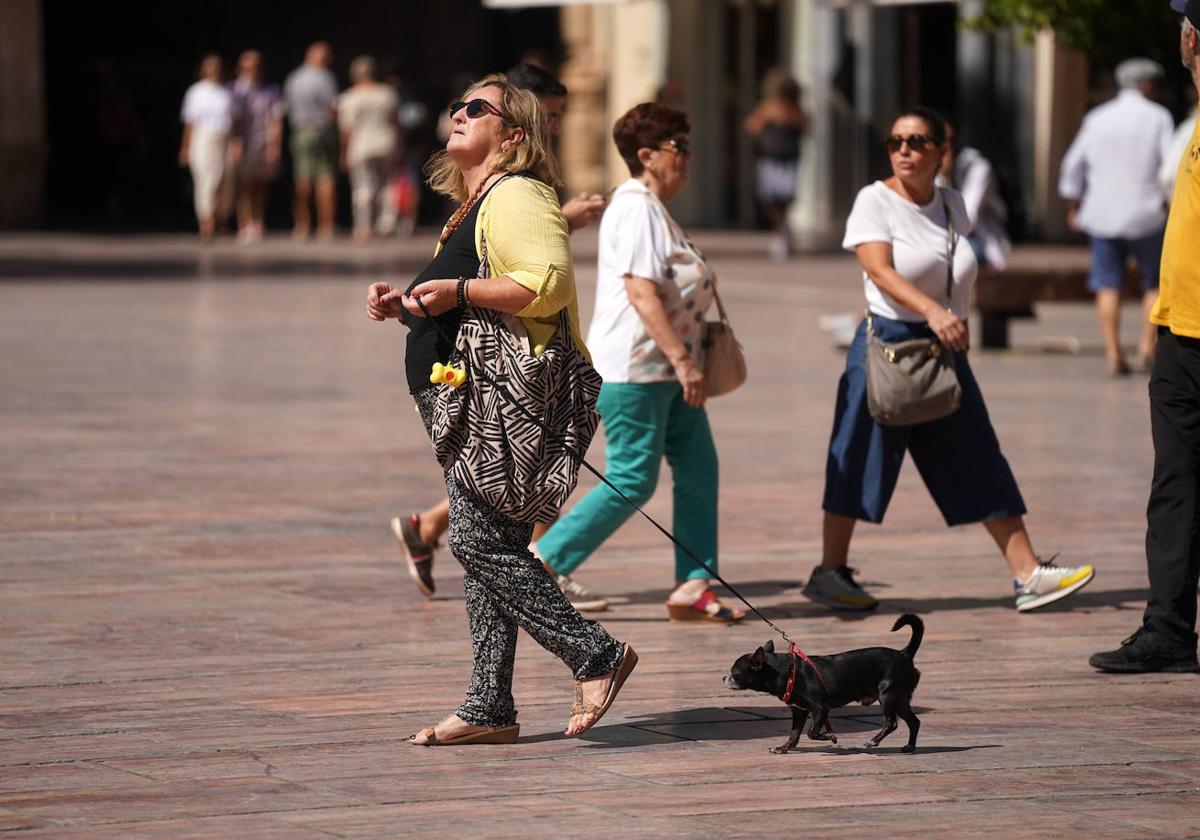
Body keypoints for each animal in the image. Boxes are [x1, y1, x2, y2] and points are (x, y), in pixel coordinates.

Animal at [720, 609, 926, 753]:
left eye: (734, 673)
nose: (723, 677)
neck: (786, 672)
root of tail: (904, 653)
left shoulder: (820, 708)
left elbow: (811, 732)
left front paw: (829, 736)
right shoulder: (799, 711)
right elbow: (794, 734)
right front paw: (783, 748)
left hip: (888, 696)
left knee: (892, 723)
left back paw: (873, 741)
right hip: (900, 700)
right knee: (914, 721)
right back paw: (910, 747)